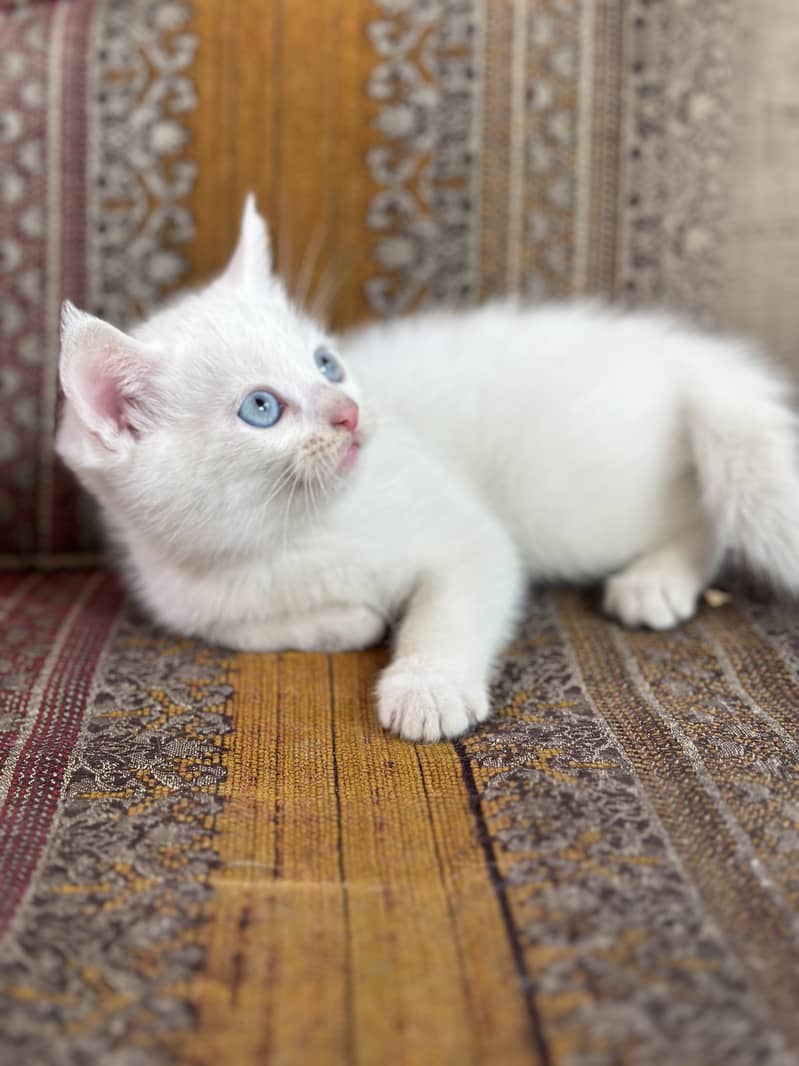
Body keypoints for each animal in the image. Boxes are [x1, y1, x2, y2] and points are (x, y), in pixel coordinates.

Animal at [57, 196, 799, 741]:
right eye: (261, 408)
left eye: (326, 363)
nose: (349, 412)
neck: (286, 537)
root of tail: (686, 353)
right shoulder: (181, 598)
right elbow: (243, 628)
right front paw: (346, 621)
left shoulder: (469, 538)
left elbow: (448, 608)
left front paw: (427, 687)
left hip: (578, 503)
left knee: (708, 513)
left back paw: (655, 580)